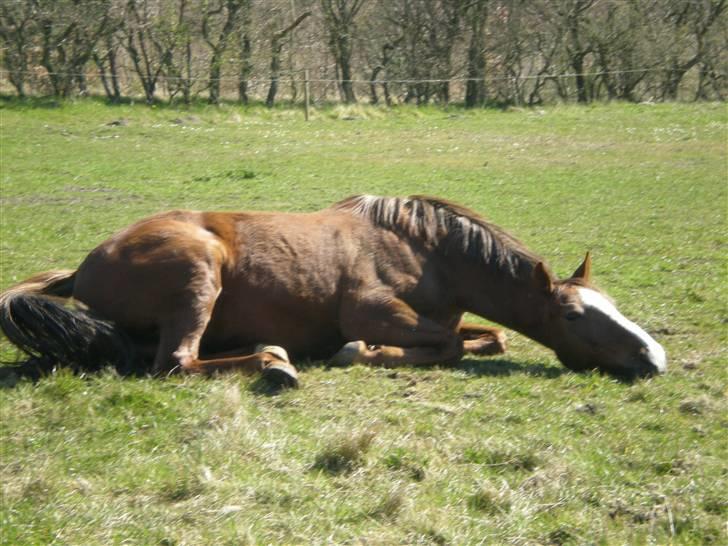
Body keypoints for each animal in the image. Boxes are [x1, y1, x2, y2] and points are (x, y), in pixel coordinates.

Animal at [0, 193, 664, 384]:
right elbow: (444, 346)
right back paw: (272, 363)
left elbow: (485, 337)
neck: (428, 251)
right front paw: (362, 353)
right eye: (574, 316)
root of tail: (84, 266)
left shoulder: (447, 315)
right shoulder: (370, 311)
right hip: (198, 276)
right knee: (177, 362)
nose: (653, 356)